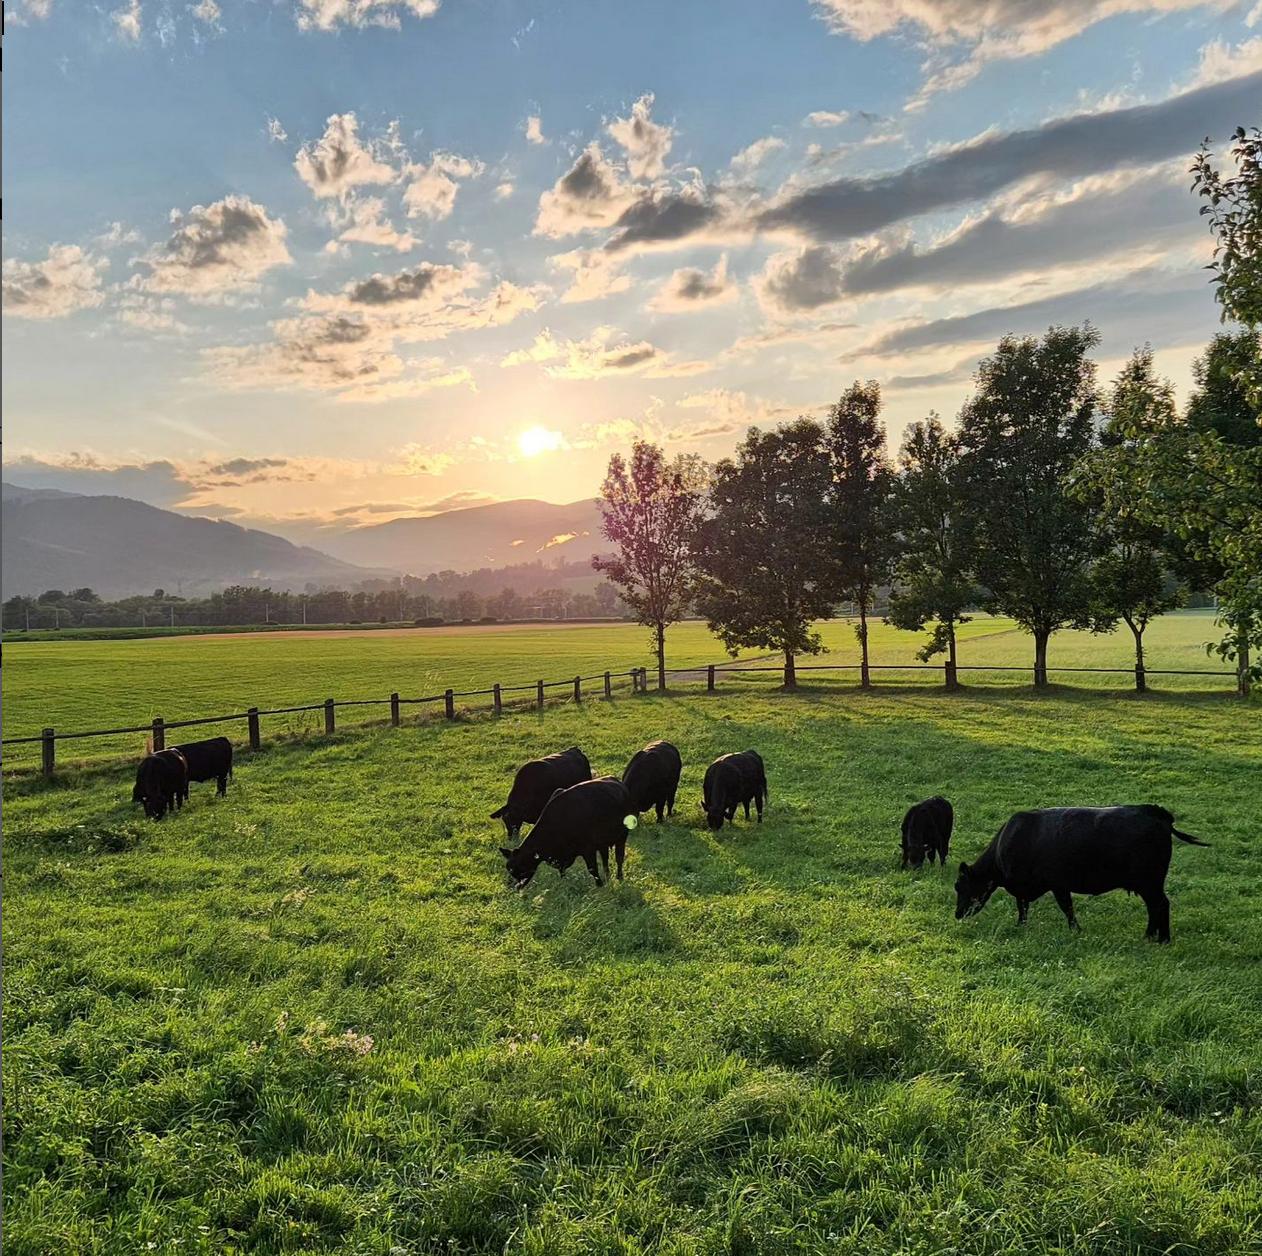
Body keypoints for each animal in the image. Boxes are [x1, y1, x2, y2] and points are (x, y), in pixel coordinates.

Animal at [499, 772, 641, 888]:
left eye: (522, 866)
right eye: (509, 869)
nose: (512, 886)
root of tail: (618, 783)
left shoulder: (588, 849)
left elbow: (592, 869)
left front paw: (599, 885)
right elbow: (562, 871)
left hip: (622, 836)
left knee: (619, 858)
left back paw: (619, 878)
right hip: (603, 842)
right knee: (605, 859)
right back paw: (607, 877)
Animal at [949, 807, 1206, 944]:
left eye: (959, 886)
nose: (957, 914)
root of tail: (1156, 812)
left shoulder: (1056, 885)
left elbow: (1065, 908)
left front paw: (1075, 930)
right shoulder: (1029, 888)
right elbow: (1024, 907)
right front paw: (1022, 926)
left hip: (1149, 882)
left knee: (1160, 905)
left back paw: (1162, 939)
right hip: (1148, 884)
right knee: (1155, 907)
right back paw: (1151, 936)